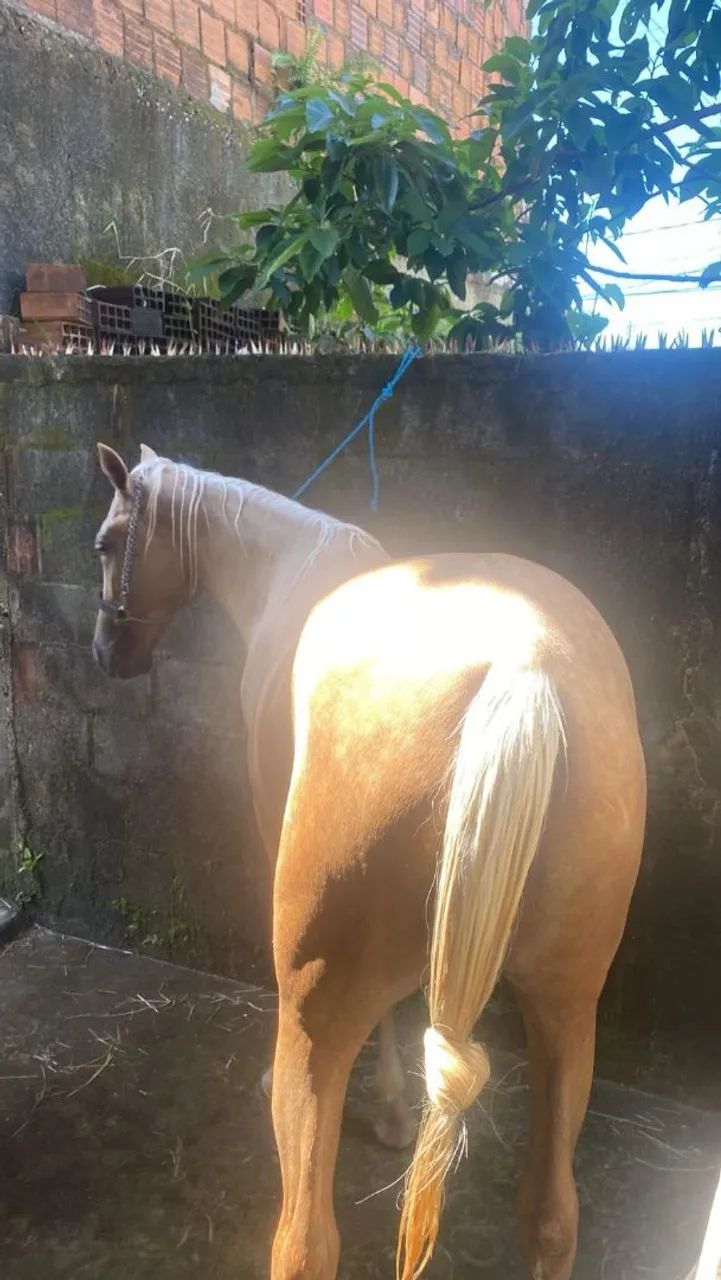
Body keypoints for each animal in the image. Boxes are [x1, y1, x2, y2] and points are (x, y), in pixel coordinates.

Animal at [93, 443, 646, 1280]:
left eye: (107, 543)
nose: (108, 653)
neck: (287, 570)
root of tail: (523, 670)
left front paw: (386, 1108)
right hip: (566, 1012)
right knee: (551, 1218)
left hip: (319, 1019)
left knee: (303, 1243)